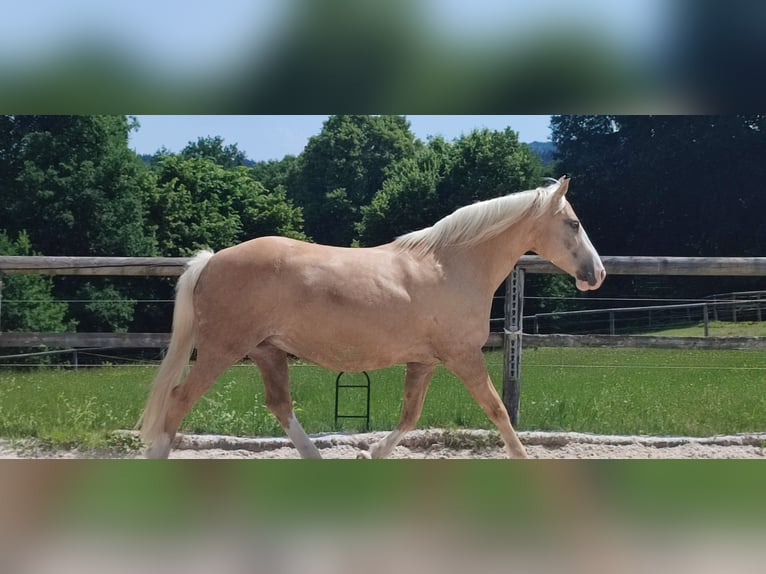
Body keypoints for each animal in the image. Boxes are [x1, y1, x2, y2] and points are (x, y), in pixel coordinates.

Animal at [139, 176, 605, 459]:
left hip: (266, 352)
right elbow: (498, 412)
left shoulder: (424, 361)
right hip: (222, 350)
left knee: (280, 405)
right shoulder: (464, 357)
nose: (597, 274)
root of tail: (211, 259)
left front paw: (371, 452)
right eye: (574, 222)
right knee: (177, 402)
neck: (451, 266)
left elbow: (410, 416)